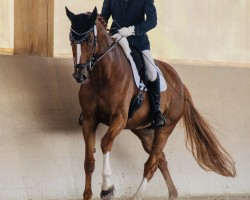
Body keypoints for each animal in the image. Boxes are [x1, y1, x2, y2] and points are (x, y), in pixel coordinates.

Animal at [65, 7, 235, 200]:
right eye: (71, 39)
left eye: (89, 39)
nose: (79, 76)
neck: (103, 75)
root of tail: (180, 85)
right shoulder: (89, 120)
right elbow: (89, 162)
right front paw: (88, 194)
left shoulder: (119, 118)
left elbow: (105, 143)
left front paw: (107, 188)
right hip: (143, 131)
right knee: (160, 160)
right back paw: (173, 193)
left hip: (165, 128)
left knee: (151, 164)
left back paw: (138, 195)